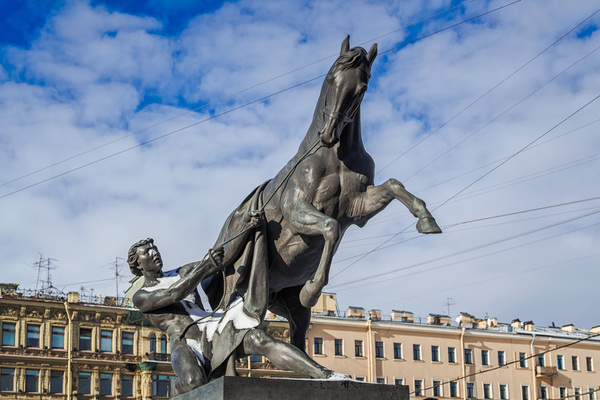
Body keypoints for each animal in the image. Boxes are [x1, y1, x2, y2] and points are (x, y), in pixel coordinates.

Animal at [216, 36, 440, 352]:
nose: (328, 134)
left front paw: (426, 219)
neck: (334, 157)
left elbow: (394, 185)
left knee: (296, 340)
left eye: (362, 87)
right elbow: (330, 227)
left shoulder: (359, 208)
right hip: (234, 289)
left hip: (287, 305)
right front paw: (311, 290)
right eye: (332, 78)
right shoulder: (297, 210)